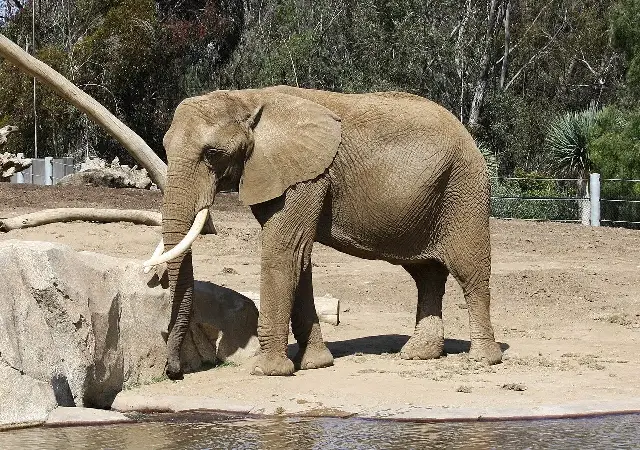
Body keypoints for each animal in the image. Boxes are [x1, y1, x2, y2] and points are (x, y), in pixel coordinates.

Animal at [143, 85, 502, 379]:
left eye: (212, 154)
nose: (173, 371)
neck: (249, 98)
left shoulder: (305, 176)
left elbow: (284, 251)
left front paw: (267, 371)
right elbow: (299, 258)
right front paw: (316, 364)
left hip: (463, 188)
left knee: (469, 272)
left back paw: (483, 360)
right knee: (426, 275)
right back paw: (417, 355)